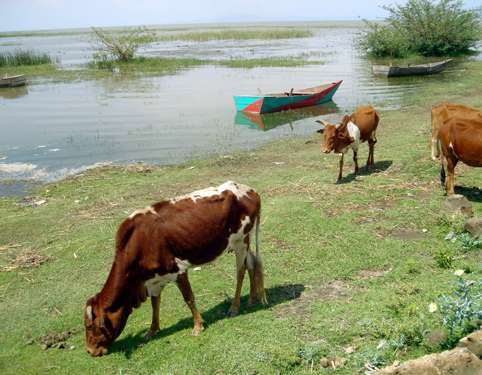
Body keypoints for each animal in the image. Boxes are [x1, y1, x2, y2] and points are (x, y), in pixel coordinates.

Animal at [85, 182, 270, 358]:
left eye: (90, 326)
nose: (90, 351)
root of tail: (250, 190)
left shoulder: (178, 270)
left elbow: (188, 298)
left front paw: (198, 326)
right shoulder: (153, 279)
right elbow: (155, 303)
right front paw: (152, 330)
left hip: (241, 241)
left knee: (241, 270)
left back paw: (234, 307)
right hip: (243, 241)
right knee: (252, 263)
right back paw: (252, 299)